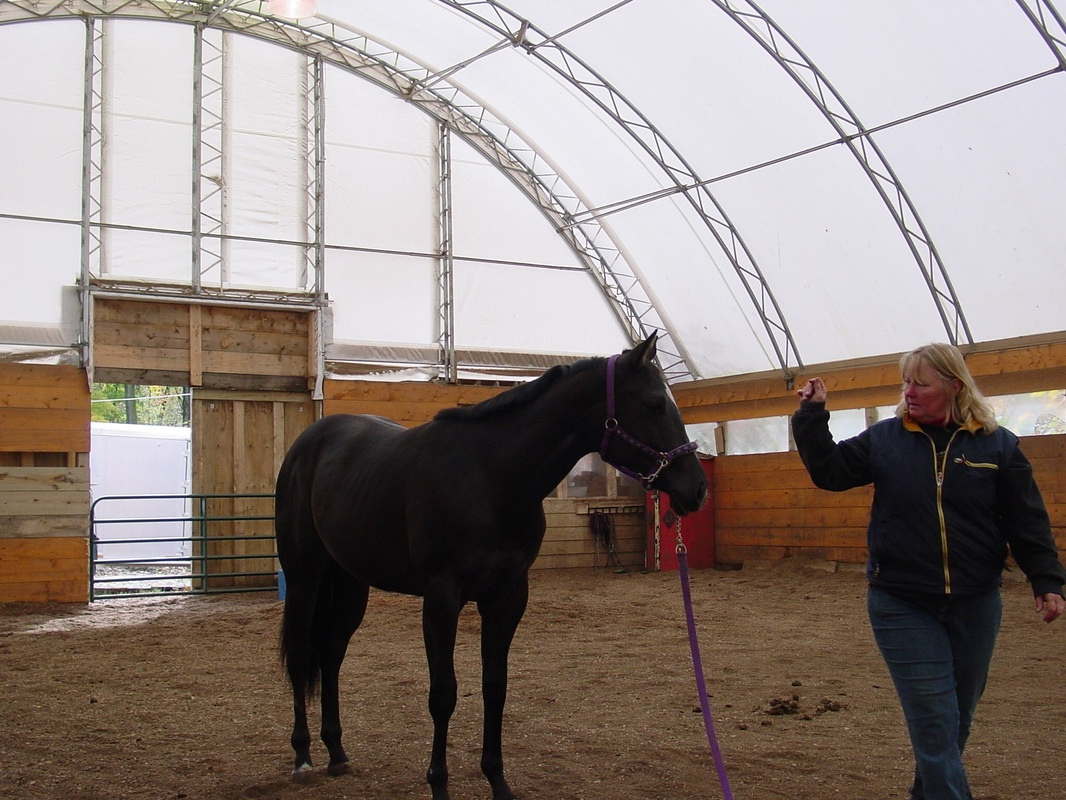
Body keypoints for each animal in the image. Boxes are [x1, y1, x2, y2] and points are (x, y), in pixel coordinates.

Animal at [275, 332, 707, 800]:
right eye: (654, 405)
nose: (698, 489)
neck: (491, 476)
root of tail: (309, 441)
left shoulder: (507, 596)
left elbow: (495, 687)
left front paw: (498, 781)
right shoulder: (441, 599)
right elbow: (443, 694)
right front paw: (439, 784)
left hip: (351, 582)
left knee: (332, 653)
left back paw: (337, 752)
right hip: (304, 576)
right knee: (301, 655)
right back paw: (303, 757)